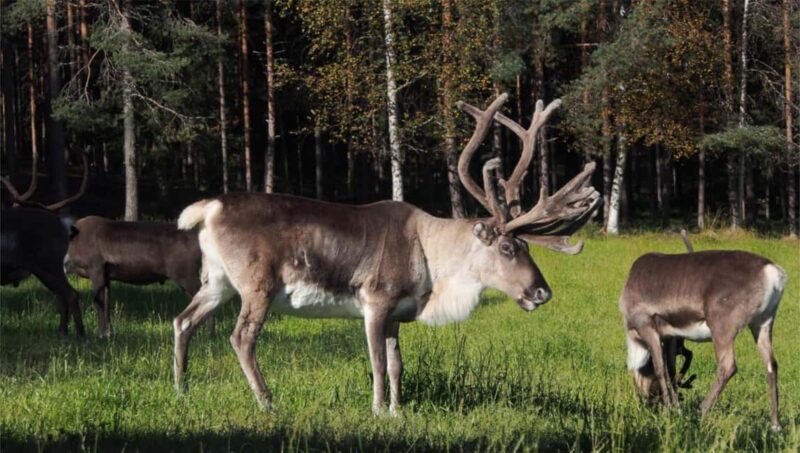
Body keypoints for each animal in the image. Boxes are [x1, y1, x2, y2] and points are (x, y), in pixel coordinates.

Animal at [1, 153, 89, 339]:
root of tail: (64, 225)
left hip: (48, 267)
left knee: (71, 294)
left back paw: (81, 337)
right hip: (47, 271)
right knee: (62, 296)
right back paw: (62, 334)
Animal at [64, 217, 205, 338]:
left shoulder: (96, 269)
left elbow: (99, 302)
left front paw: (101, 334)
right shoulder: (106, 276)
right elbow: (106, 302)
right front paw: (108, 333)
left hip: (186, 274)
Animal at [172, 93, 602, 415]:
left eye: (527, 245)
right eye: (509, 247)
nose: (542, 292)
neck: (435, 270)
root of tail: (209, 208)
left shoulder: (398, 312)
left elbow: (397, 365)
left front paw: (398, 410)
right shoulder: (376, 300)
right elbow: (378, 363)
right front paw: (379, 409)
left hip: (217, 281)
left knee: (183, 320)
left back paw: (182, 389)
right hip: (256, 284)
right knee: (241, 337)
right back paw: (268, 402)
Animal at [620, 230, 787, 429]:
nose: (649, 404)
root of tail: (773, 273)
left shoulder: (646, 325)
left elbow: (660, 369)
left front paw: (670, 410)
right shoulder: (670, 335)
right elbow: (671, 370)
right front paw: (676, 409)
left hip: (722, 324)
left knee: (728, 365)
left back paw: (700, 411)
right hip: (764, 322)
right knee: (771, 364)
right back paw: (775, 424)